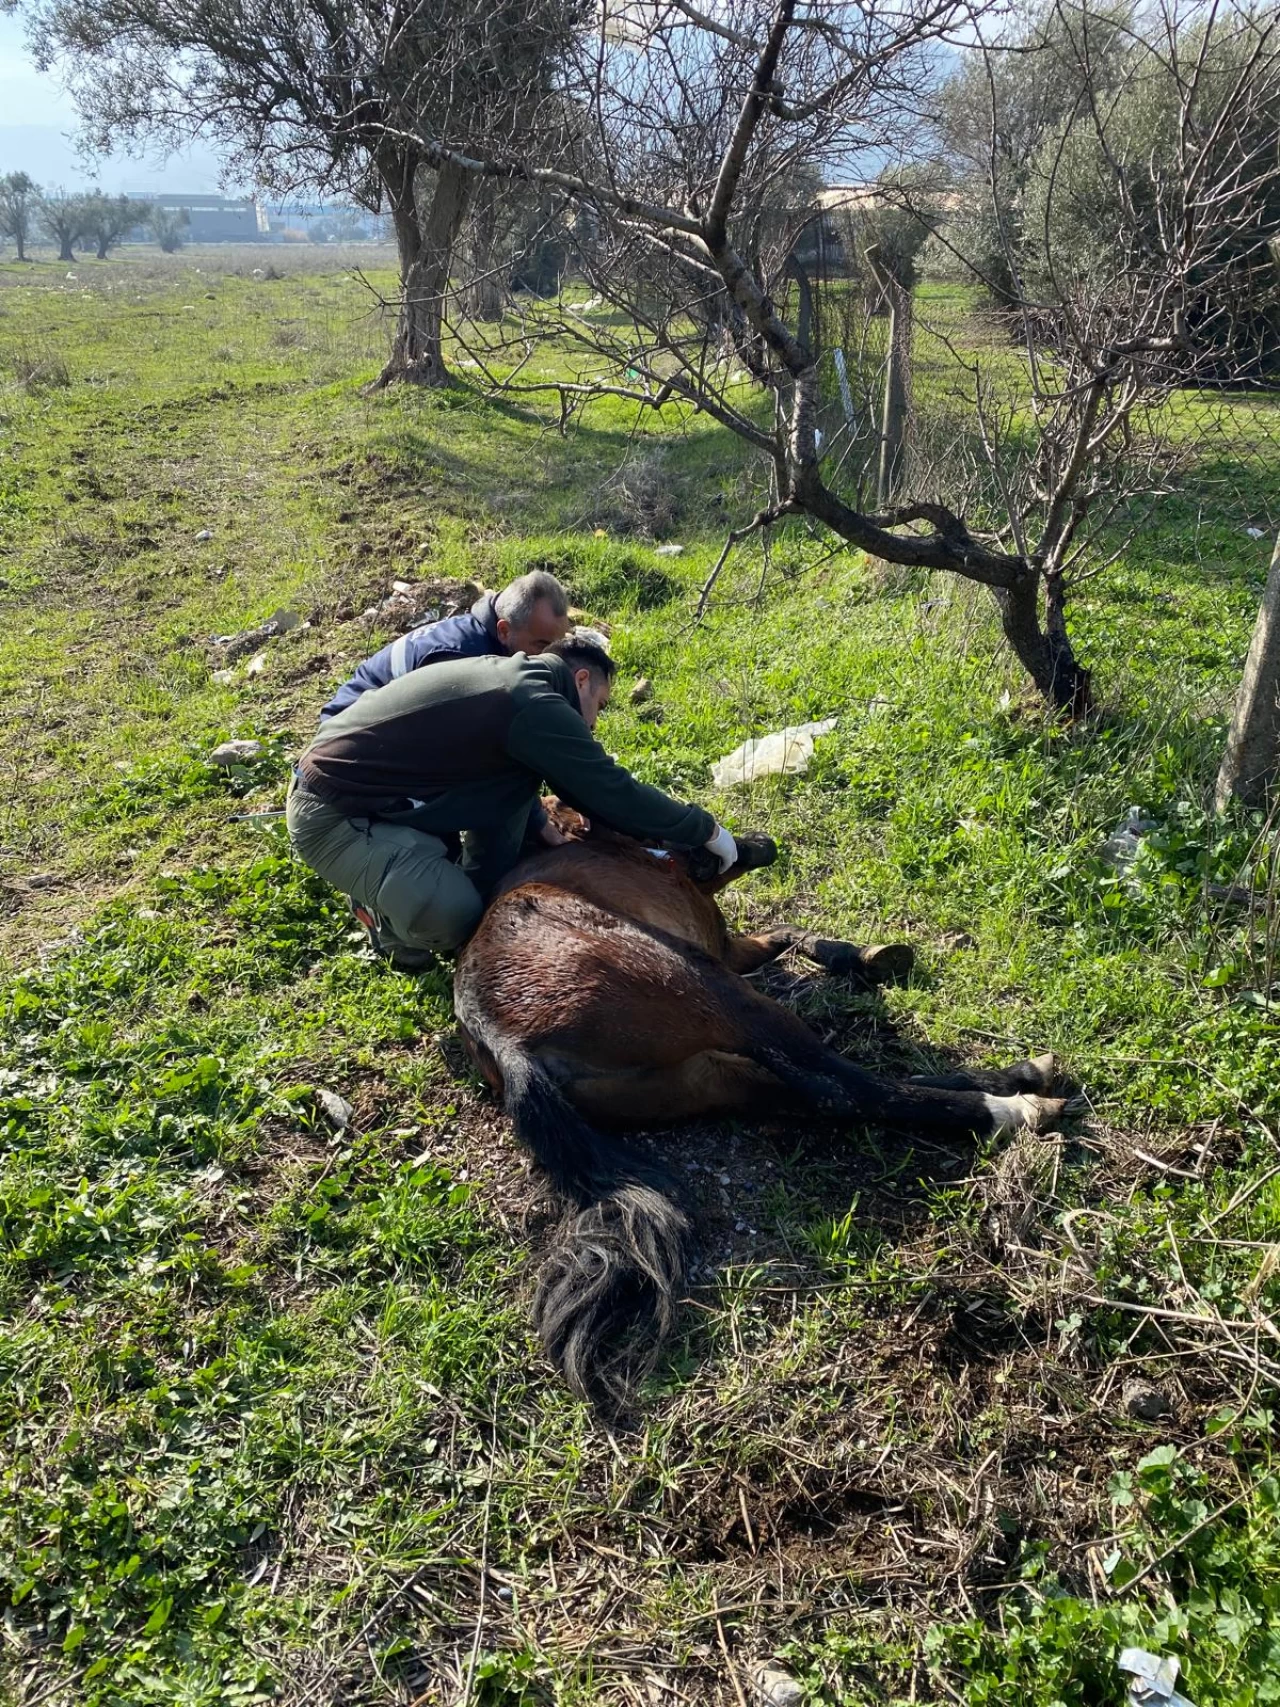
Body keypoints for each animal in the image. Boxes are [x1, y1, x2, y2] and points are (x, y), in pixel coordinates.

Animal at [457, 819, 1064, 1406]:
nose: (762, 843)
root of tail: (500, 1035)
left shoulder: (730, 952)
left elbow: (784, 933)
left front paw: (858, 956)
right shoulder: (719, 954)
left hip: (706, 1076)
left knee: (813, 1094)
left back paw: (1016, 1080)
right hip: (711, 992)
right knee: (845, 1088)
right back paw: (1010, 1102)